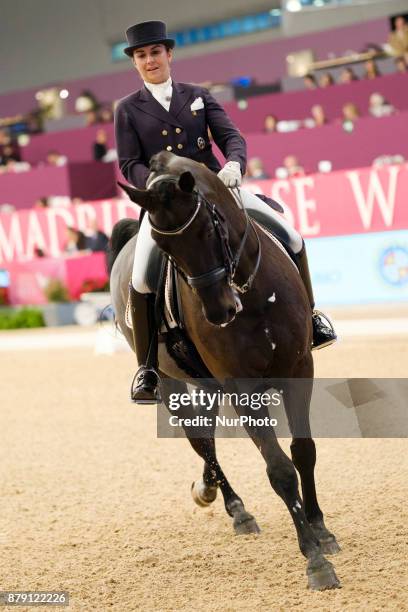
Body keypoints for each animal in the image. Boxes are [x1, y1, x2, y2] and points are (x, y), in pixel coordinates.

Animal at [109, 151, 342, 592]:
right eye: (164, 246)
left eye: (208, 227)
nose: (219, 312)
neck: (252, 294)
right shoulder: (241, 387)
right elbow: (280, 470)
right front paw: (316, 563)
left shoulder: (300, 368)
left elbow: (304, 451)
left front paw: (321, 530)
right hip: (170, 382)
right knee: (199, 438)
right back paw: (235, 507)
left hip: (207, 381)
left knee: (208, 432)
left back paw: (211, 490)